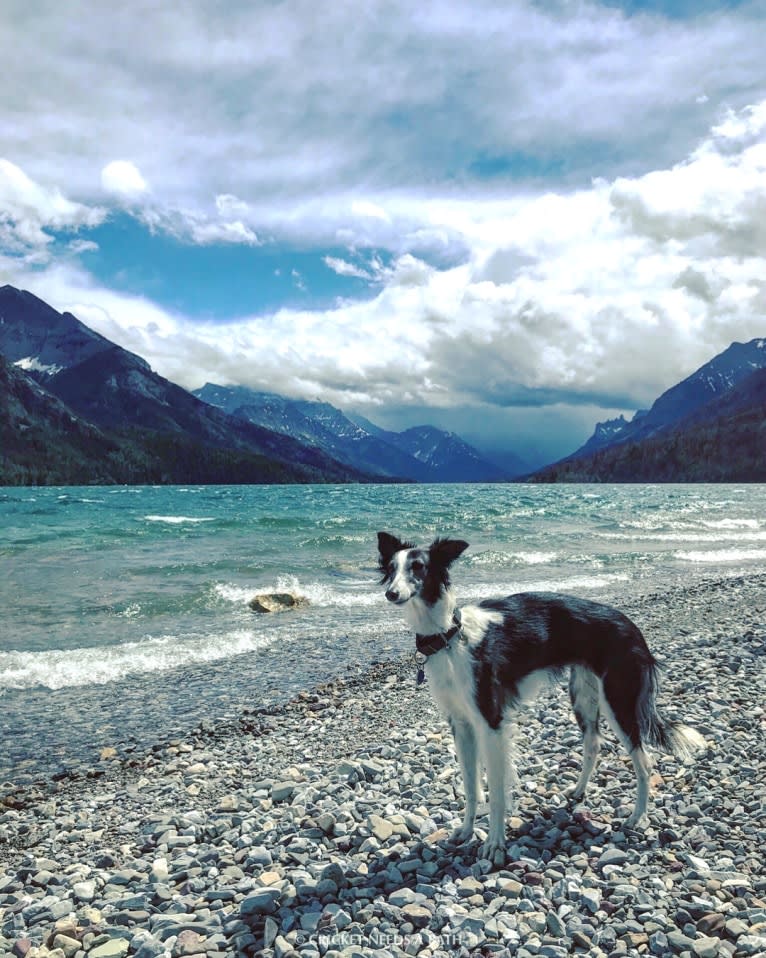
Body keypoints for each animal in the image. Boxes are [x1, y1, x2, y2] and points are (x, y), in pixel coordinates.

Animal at [378, 532, 708, 864]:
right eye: (392, 568)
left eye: (418, 567)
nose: (390, 594)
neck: (450, 637)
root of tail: (631, 626)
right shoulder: (461, 724)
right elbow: (471, 786)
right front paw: (466, 831)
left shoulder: (491, 723)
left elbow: (496, 791)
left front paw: (495, 844)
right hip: (583, 696)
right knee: (593, 744)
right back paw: (578, 791)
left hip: (619, 702)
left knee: (644, 762)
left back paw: (637, 817)